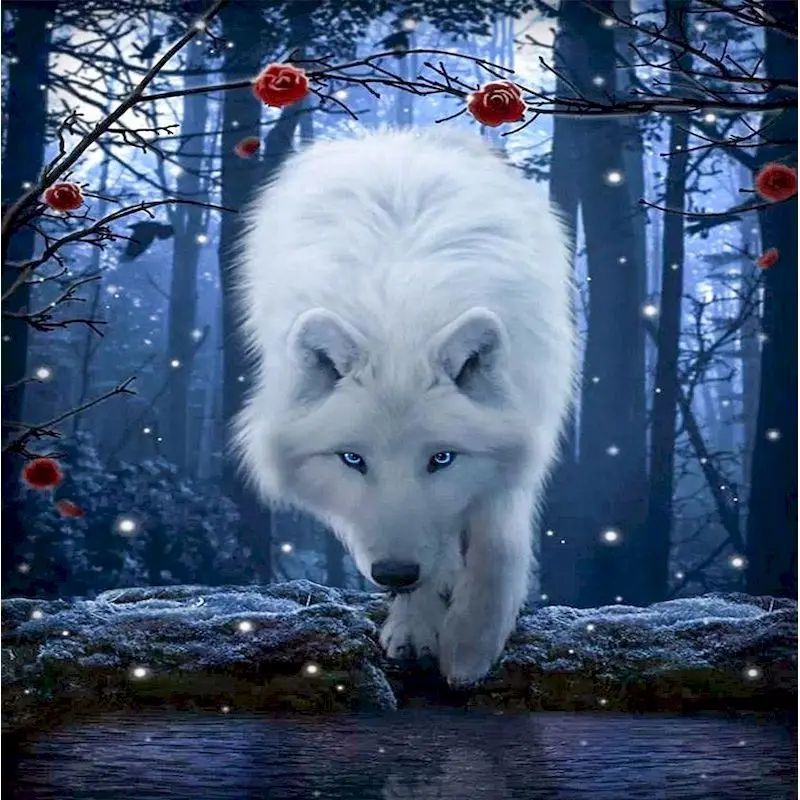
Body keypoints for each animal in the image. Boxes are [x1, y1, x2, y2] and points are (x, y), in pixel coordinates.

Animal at [233, 127, 577, 686]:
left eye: (442, 458)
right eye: (353, 459)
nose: (394, 573)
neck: (399, 321)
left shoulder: (522, 432)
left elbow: (497, 541)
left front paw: (470, 642)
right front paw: (417, 627)